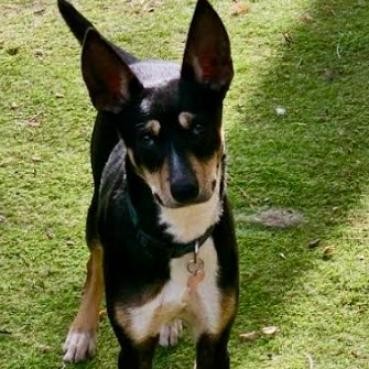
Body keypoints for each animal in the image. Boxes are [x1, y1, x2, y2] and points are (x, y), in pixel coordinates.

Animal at [56, 0, 237, 366]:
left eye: (198, 127)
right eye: (146, 138)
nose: (184, 189)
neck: (182, 239)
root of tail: (139, 63)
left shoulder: (215, 338)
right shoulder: (134, 346)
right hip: (94, 214)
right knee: (94, 262)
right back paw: (82, 331)